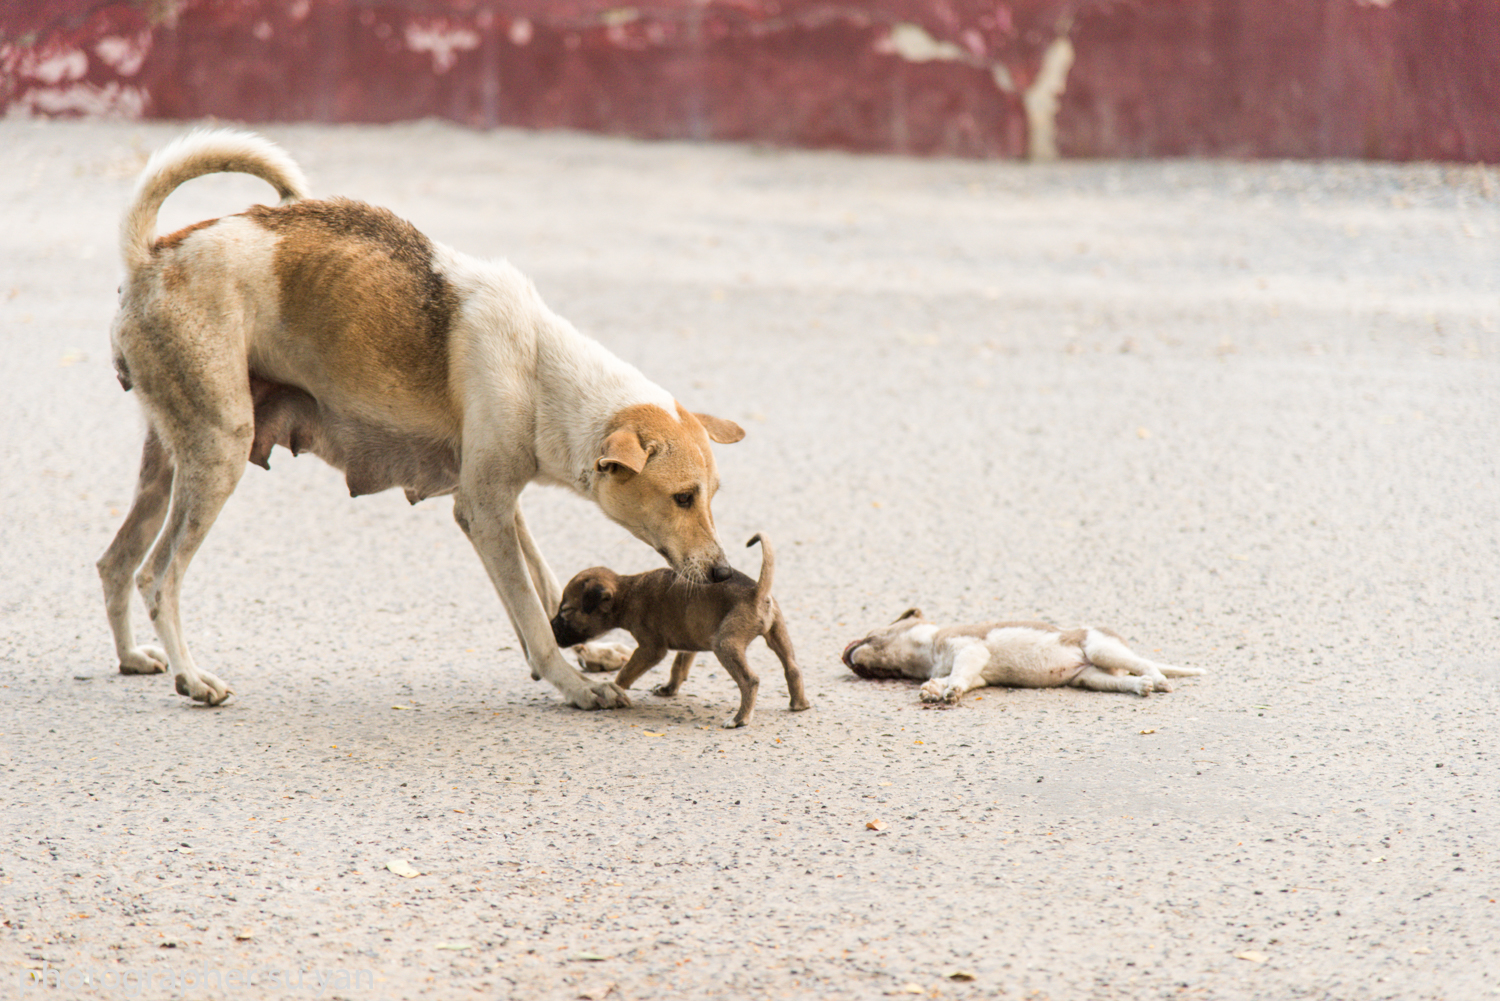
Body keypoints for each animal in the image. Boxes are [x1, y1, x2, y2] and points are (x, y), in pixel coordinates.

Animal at [96, 129, 741, 711]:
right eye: (683, 498)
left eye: (712, 496)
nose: (721, 571)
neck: (539, 367)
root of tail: (152, 255)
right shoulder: (481, 510)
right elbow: (532, 616)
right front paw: (573, 682)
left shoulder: (497, 502)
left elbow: (541, 579)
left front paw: (583, 648)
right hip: (220, 451)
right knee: (158, 576)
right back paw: (192, 677)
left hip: (168, 463)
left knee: (116, 562)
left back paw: (131, 657)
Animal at [552, 531, 810, 729]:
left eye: (566, 611)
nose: (551, 628)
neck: (628, 592)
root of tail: (756, 592)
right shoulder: (689, 640)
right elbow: (679, 666)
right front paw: (669, 689)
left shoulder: (650, 649)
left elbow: (626, 673)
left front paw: (613, 692)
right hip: (777, 635)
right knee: (793, 668)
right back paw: (799, 704)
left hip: (725, 645)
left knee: (750, 681)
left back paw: (740, 719)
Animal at [846, 606, 1206, 702]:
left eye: (871, 635)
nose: (843, 654)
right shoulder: (978, 673)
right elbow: (958, 678)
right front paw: (934, 689)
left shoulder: (970, 648)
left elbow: (959, 673)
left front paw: (948, 690)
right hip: (1089, 677)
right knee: (1123, 680)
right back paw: (1141, 686)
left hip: (1101, 648)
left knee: (1145, 663)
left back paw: (1159, 681)